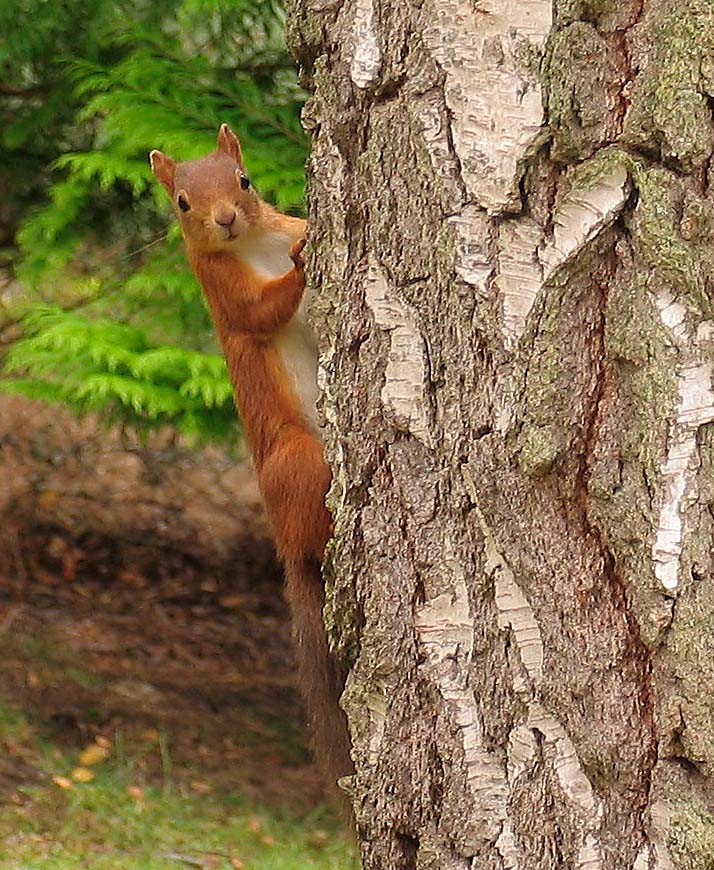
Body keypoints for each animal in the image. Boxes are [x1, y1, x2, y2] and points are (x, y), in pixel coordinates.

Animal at [149, 124, 350, 792]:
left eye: (244, 180)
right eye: (183, 202)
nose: (227, 218)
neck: (258, 244)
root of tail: (286, 544)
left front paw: (311, 232)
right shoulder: (222, 290)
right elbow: (261, 311)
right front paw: (302, 266)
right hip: (294, 456)